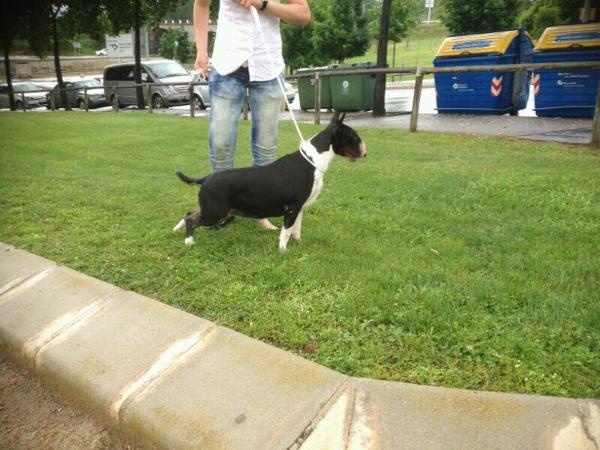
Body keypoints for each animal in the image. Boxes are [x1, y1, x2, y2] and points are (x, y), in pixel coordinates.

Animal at [171, 111, 364, 251]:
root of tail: (205, 179)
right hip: (215, 211)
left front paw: (299, 244)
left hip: (213, 209)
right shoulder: (292, 208)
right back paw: (189, 242)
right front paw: (283, 250)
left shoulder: (300, 208)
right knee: (192, 220)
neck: (313, 160)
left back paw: (177, 230)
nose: (365, 152)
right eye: (354, 137)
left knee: (190, 213)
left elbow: (296, 229)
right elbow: (286, 231)